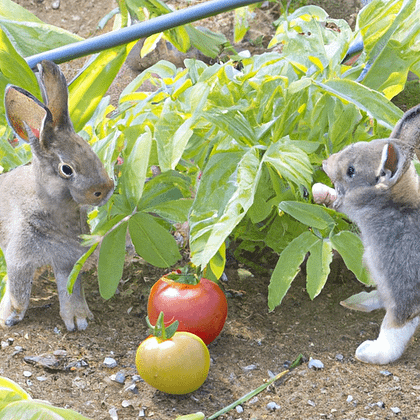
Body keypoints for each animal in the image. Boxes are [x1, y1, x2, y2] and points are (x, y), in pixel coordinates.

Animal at [0, 60, 114, 334]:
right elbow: (19, 292)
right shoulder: (19, 258)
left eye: (89, 149)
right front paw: (10, 318)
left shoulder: (67, 262)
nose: (106, 188)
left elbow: (71, 292)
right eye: (67, 169)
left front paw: (79, 320)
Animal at [314, 104, 420, 364]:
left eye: (351, 170)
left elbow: (394, 327)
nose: (325, 162)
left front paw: (371, 353)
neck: (392, 209)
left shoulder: (404, 289)